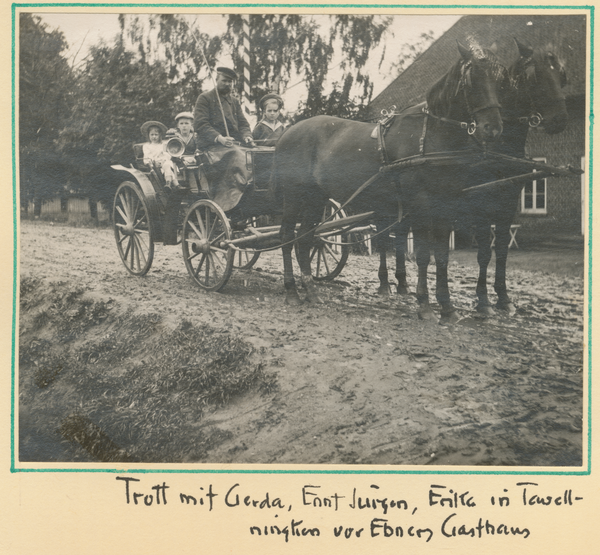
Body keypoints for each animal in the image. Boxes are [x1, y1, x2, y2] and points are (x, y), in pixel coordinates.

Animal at [274, 41, 508, 322]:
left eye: (500, 80)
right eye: (472, 80)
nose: (493, 129)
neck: (431, 134)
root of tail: (288, 132)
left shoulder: (445, 204)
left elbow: (441, 256)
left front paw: (448, 308)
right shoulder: (420, 203)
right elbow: (422, 255)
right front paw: (424, 305)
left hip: (315, 199)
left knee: (306, 239)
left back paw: (311, 290)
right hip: (293, 195)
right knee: (287, 236)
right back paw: (291, 290)